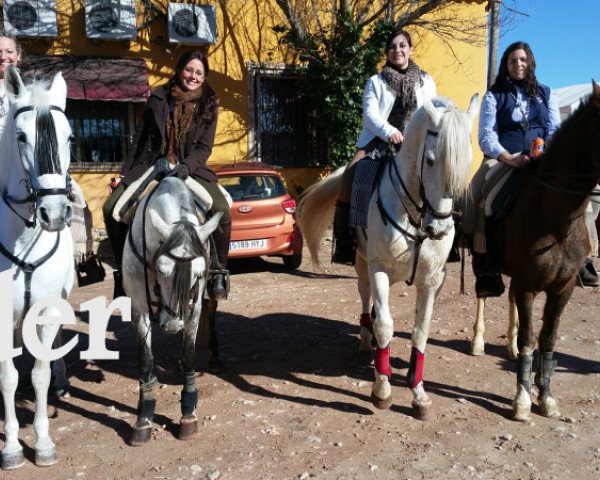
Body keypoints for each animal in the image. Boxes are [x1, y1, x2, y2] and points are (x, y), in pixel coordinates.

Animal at [123, 177, 221, 446]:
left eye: (198, 273)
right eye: (161, 270)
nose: (173, 325)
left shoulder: (194, 305)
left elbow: (188, 354)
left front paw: (188, 414)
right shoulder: (139, 307)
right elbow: (145, 359)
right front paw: (143, 419)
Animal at [298, 95, 478, 418]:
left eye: (466, 162)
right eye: (430, 160)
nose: (439, 228)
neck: (416, 217)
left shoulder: (431, 281)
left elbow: (420, 330)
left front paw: (418, 394)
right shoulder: (379, 269)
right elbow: (384, 325)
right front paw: (381, 390)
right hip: (362, 265)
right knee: (366, 297)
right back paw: (365, 341)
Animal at [474, 80, 600, 422]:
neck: (556, 217)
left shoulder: (562, 289)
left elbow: (547, 339)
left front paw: (545, 396)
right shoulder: (529, 286)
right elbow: (530, 338)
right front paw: (521, 400)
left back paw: (510, 347)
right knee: (483, 295)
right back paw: (478, 341)